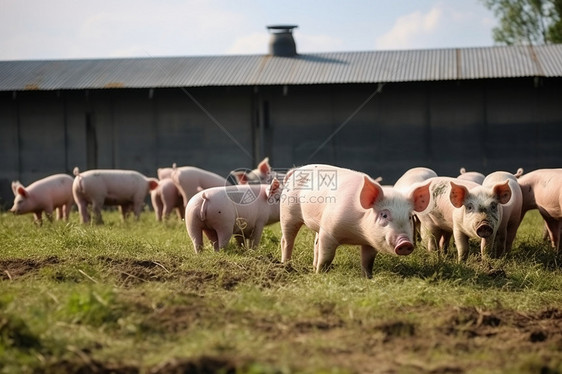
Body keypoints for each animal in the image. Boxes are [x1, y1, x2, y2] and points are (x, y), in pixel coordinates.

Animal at [278, 164, 428, 278]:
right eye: (384, 215)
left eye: (409, 217)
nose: (405, 242)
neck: (356, 233)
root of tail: (295, 171)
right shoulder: (329, 230)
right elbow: (326, 257)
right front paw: (320, 274)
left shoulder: (370, 242)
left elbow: (368, 261)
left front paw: (368, 278)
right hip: (287, 213)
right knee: (286, 240)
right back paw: (286, 266)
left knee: (316, 243)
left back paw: (312, 267)